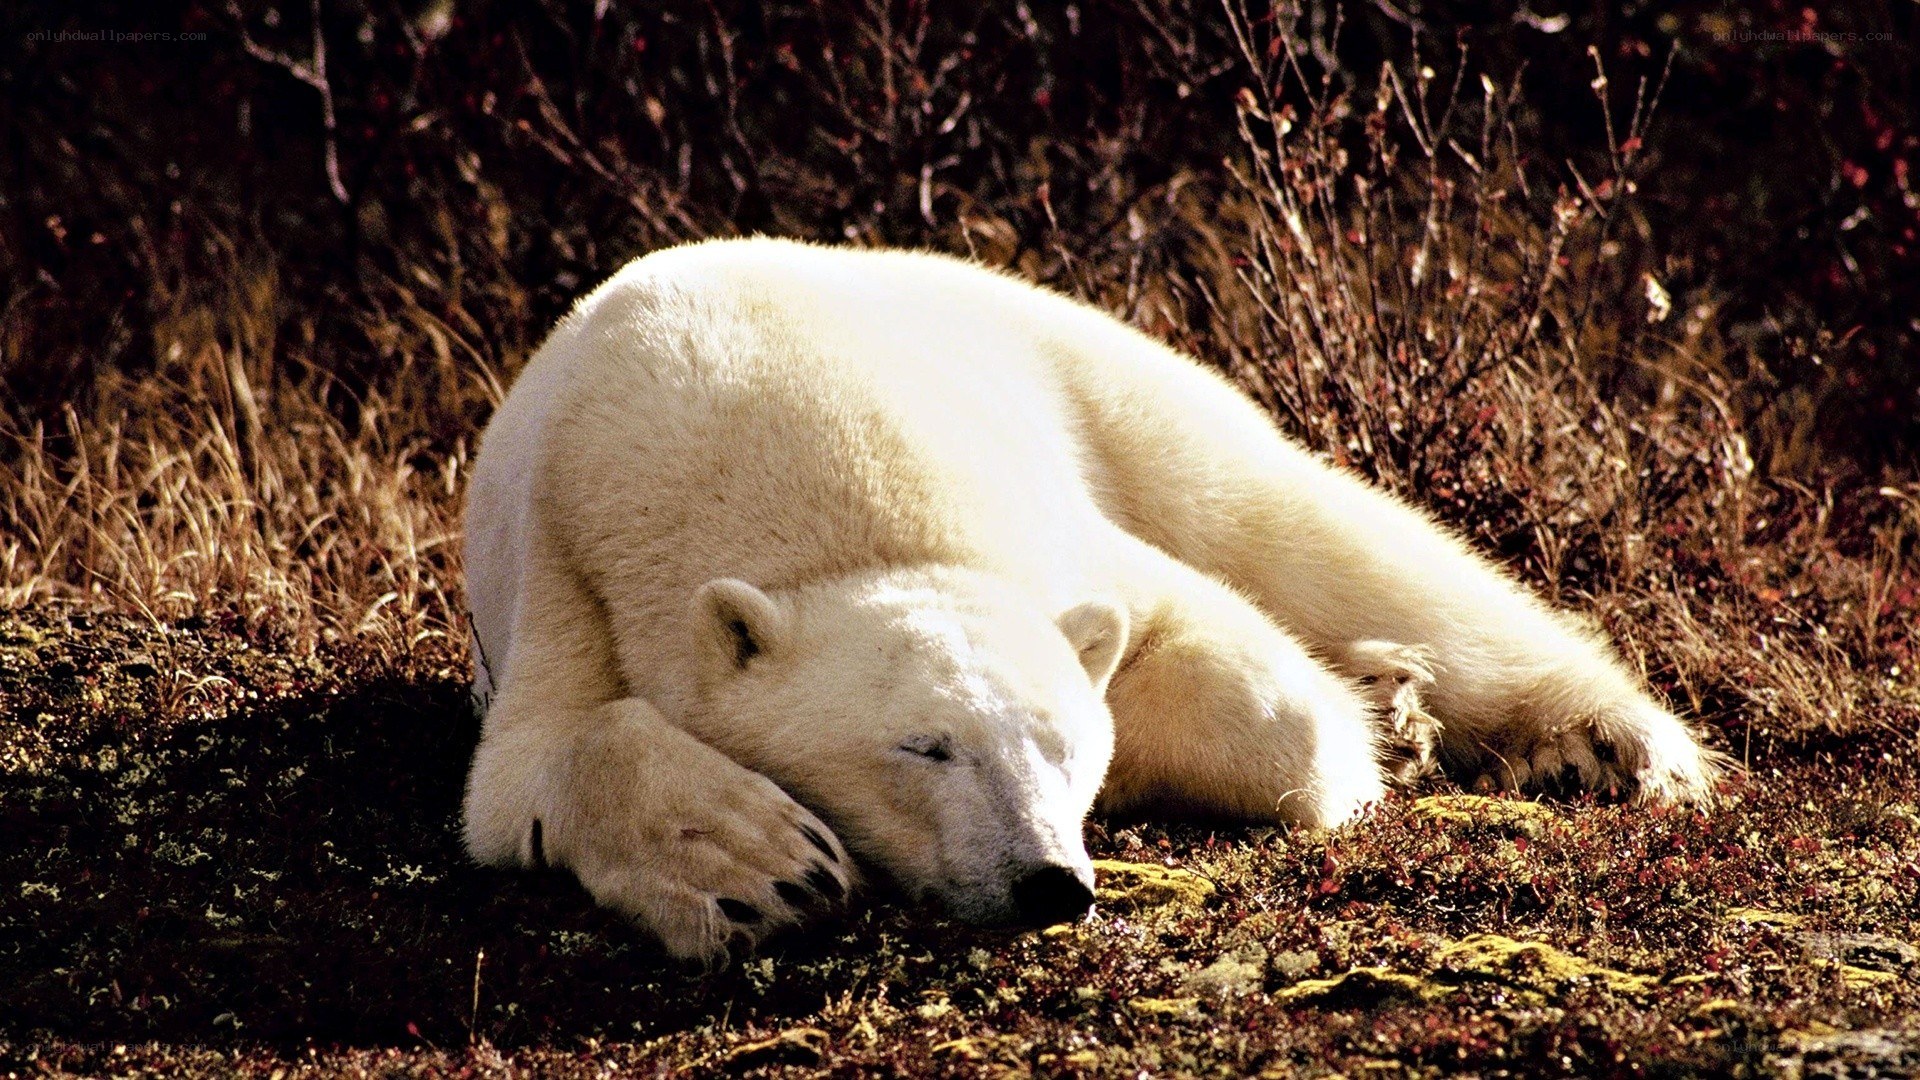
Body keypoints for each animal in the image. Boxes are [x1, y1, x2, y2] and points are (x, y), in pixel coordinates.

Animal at [461, 237, 1720, 964]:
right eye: (923, 747)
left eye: (1063, 743)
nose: (1047, 883)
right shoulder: (576, 562)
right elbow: (531, 768)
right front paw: (759, 860)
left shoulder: (1041, 519)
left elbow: (1248, 682)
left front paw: (1368, 729)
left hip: (1095, 371)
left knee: (1305, 528)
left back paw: (1607, 743)